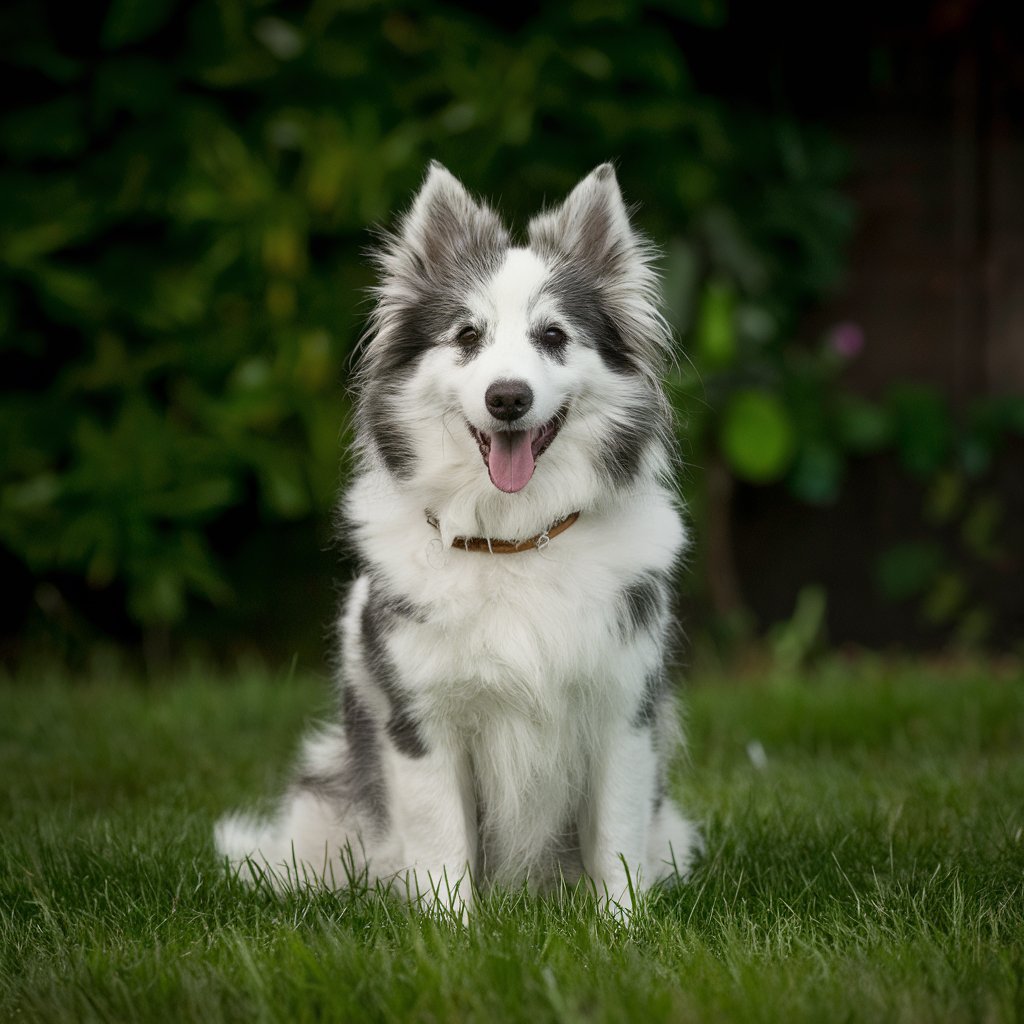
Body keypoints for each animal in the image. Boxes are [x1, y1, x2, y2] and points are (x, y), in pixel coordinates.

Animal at [211, 163, 700, 917]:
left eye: (553, 336)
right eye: (467, 336)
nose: (507, 398)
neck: (516, 541)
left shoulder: (623, 714)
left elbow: (615, 844)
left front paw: (623, 929)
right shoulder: (422, 724)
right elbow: (443, 844)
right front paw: (451, 930)